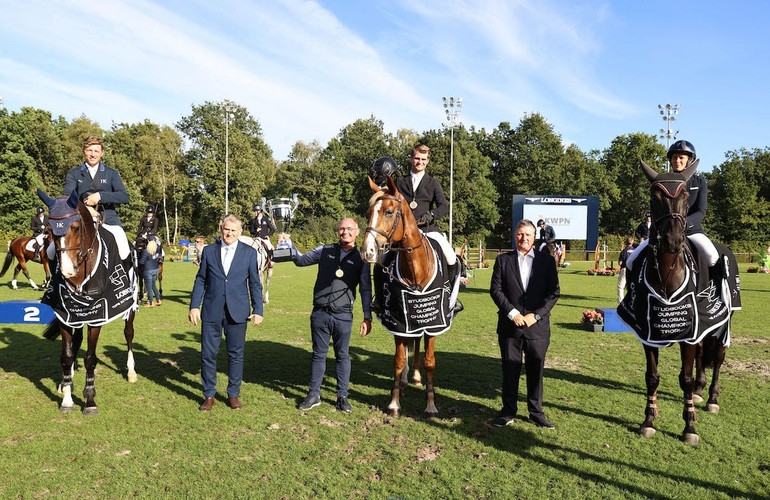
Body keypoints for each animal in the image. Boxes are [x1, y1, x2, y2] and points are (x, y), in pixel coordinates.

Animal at [37, 190, 138, 414]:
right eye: (50, 230)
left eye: (75, 227)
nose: (67, 270)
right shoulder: (65, 316)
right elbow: (66, 356)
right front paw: (67, 398)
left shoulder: (97, 317)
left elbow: (91, 358)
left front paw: (90, 401)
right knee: (77, 341)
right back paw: (65, 382)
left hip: (130, 304)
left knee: (128, 333)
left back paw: (131, 371)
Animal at [362, 176, 462, 418]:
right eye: (368, 212)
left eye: (389, 212)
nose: (367, 251)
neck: (415, 268)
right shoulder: (399, 321)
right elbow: (399, 360)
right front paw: (394, 403)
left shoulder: (434, 322)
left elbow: (429, 361)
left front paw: (431, 405)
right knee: (411, 343)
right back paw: (409, 378)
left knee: (417, 343)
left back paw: (416, 376)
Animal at [616, 158, 736, 444]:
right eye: (654, 195)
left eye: (684, 196)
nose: (673, 240)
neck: (668, 271)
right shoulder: (649, 333)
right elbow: (652, 377)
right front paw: (648, 420)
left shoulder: (688, 333)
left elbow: (686, 378)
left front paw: (690, 426)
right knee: (704, 354)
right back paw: (701, 392)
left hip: (721, 323)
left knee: (718, 357)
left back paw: (712, 398)